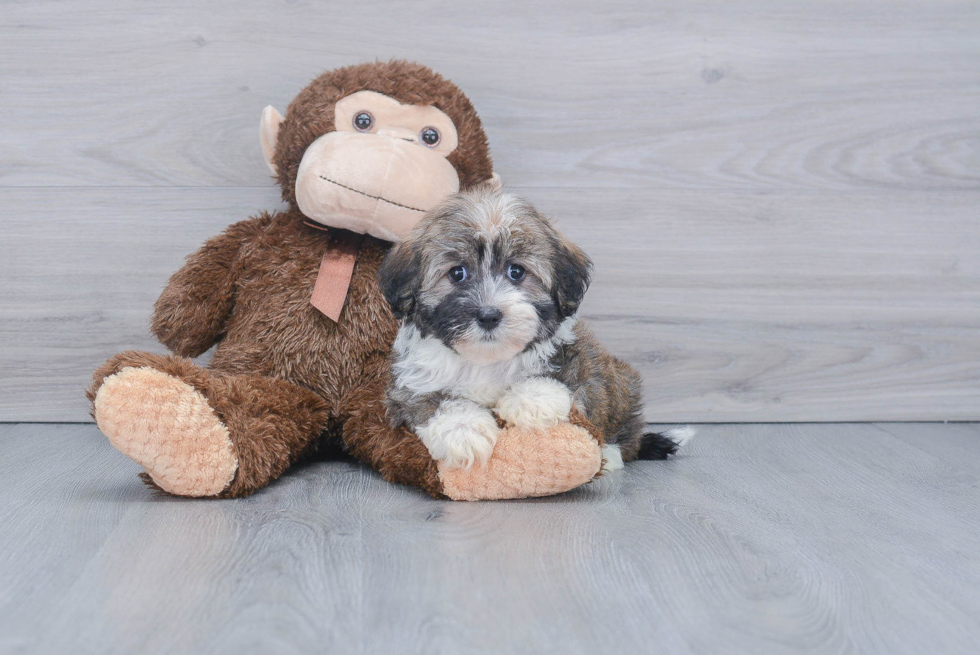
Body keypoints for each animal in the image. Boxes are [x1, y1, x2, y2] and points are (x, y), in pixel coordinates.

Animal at [376, 184, 688, 472]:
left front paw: (531, 401)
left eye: (516, 271)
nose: (488, 315)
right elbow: (429, 400)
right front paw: (464, 430)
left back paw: (610, 455)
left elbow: (567, 379)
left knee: (625, 436)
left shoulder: (576, 356)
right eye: (457, 273)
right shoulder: (408, 385)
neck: (485, 360)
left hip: (622, 384)